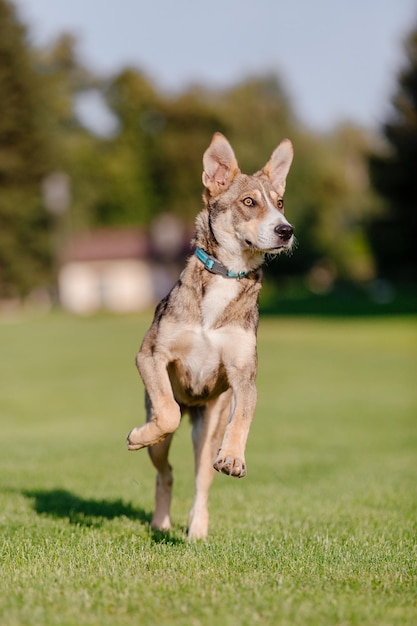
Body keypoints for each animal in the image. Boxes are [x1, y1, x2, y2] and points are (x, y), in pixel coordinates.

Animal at [127, 132, 292, 536]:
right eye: (249, 202)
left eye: (280, 203)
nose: (287, 230)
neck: (226, 275)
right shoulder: (150, 354)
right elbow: (167, 413)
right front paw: (138, 435)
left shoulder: (244, 375)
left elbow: (243, 417)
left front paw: (233, 457)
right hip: (161, 434)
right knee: (166, 471)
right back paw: (160, 522)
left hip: (208, 427)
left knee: (202, 478)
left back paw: (197, 530)